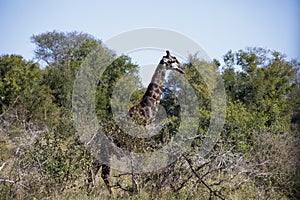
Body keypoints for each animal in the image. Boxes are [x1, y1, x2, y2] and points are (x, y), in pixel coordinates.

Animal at [88, 50, 184, 194]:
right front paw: (137, 191)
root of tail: (94, 137)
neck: (147, 111)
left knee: (94, 172)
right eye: (173, 60)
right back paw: (110, 195)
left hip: (100, 152)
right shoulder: (140, 145)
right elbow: (138, 172)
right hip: (105, 152)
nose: (182, 69)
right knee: (103, 174)